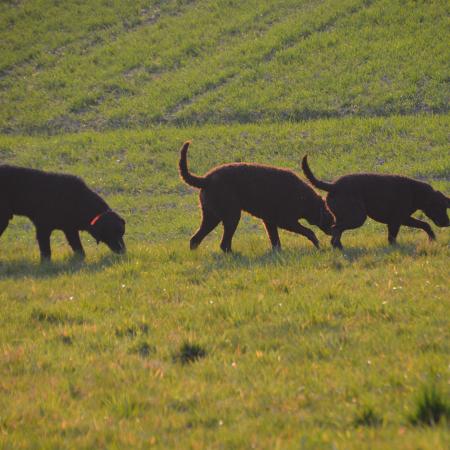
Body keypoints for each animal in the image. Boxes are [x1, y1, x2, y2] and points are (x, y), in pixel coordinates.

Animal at [178, 141, 332, 253]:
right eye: (331, 219)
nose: (333, 234)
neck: (304, 198)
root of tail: (206, 179)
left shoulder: (270, 221)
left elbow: (276, 241)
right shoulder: (286, 221)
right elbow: (309, 232)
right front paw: (319, 246)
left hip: (212, 217)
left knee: (195, 239)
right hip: (231, 216)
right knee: (223, 244)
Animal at [300, 156, 448, 250]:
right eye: (440, 207)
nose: (448, 223)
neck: (415, 191)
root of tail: (333, 186)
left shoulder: (401, 219)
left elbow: (425, 225)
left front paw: (432, 239)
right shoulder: (398, 219)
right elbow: (394, 237)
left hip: (346, 216)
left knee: (336, 230)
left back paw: (339, 247)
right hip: (357, 217)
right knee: (336, 229)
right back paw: (338, 247)